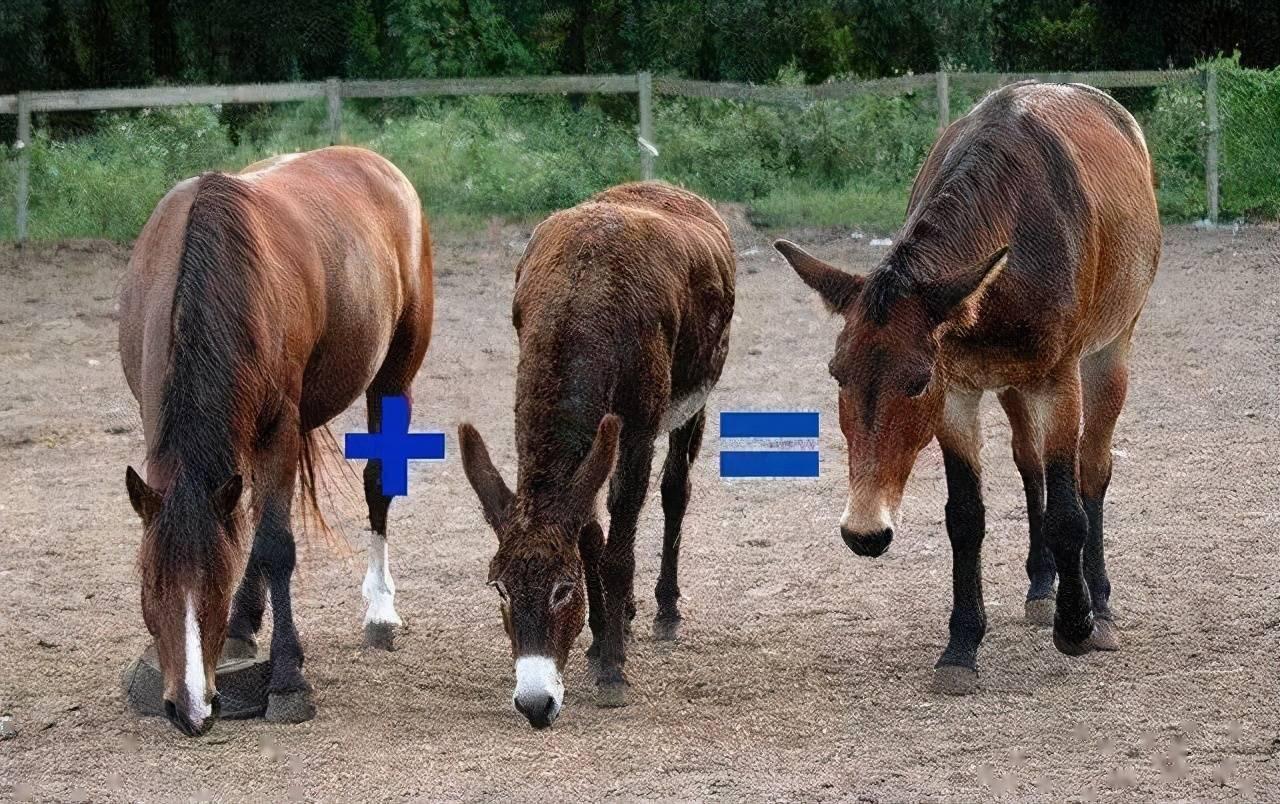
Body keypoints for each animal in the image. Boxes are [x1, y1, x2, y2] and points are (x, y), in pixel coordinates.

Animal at [119, 146, 433, 735]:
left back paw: (380, 611)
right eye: (149, 585)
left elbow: (274, 546)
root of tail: (375, 163)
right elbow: (254, 530)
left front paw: (288, 679)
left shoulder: (276, 430)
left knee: (377, 482)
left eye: (214, 587)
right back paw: (248, 623)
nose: (191, 710)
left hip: (393, 376)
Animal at [457, 181, 735, 727]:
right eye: (499, 588)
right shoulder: (582, 455)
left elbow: (619, 549)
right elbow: (590, 534)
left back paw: (664, 611)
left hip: (694, 397)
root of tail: (665, 188)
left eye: (564, 589)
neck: (579, 298)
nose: (535, 704)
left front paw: (612, 672)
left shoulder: (639, 429)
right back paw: (622, 618)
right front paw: (601, 637)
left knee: (675, 491)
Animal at [775, 81, 1160, 693]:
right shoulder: (958, 393)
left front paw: (1074, 625)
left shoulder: (1058, 381)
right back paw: (1041, 585)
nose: (865, 532)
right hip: (1012, 384)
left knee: (1092, 471)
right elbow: (966, 517)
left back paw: (1098, 607)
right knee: (1029, 465)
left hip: (1109, 353)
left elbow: (1068, 511)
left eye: (916, 382)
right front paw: (960, 646)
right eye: (837, 374)